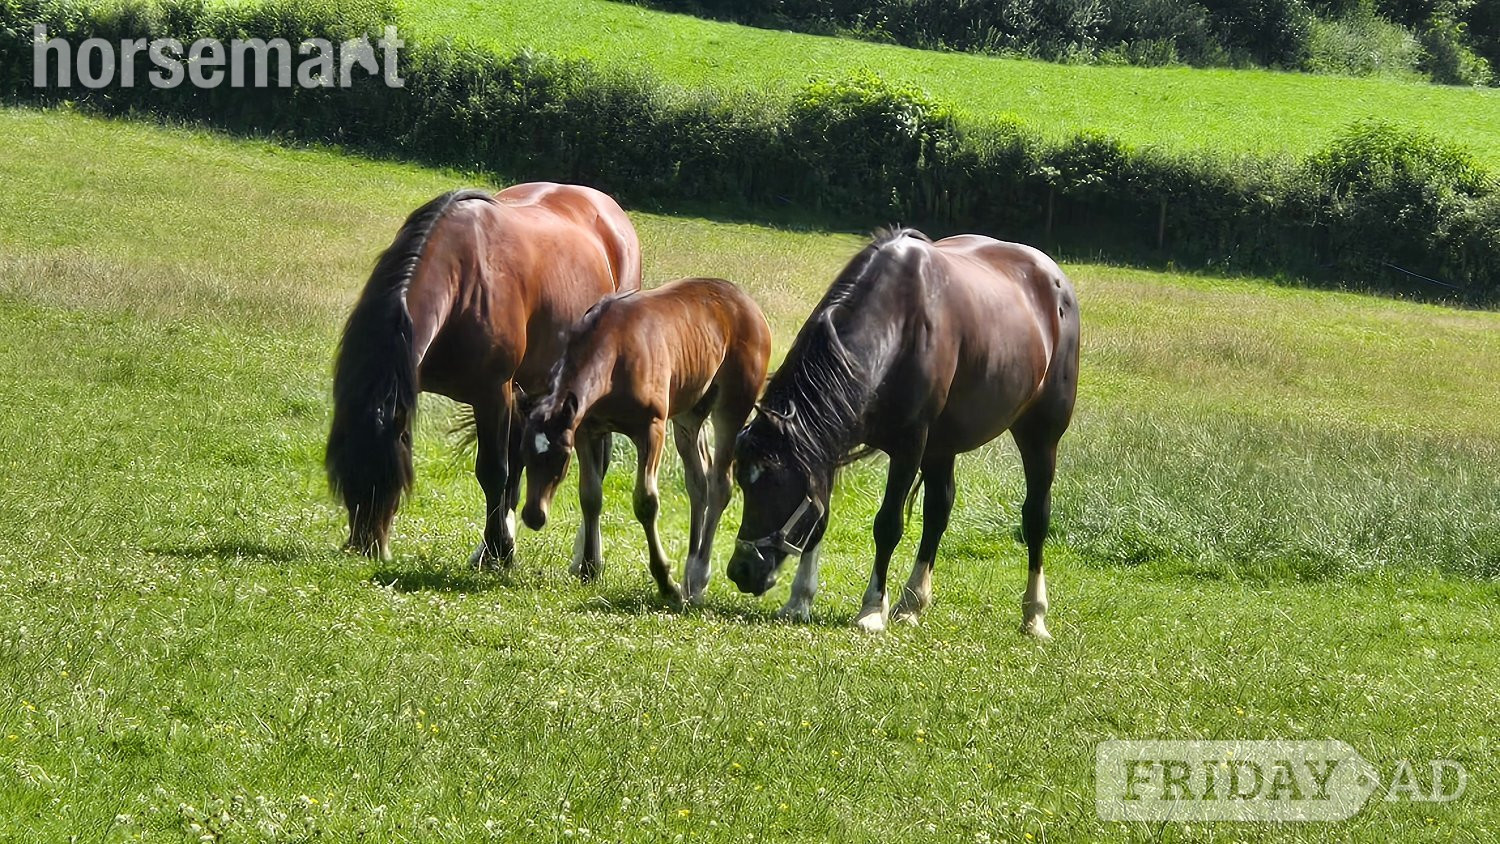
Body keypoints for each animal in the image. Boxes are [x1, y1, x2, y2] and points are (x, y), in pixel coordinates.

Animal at [325, 183, 641, 565]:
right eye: (343, 472)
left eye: (392, 476)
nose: (367, 547)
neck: (461, 279)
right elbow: (509, 468)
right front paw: (497, 548)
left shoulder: (493, 392)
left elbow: (494, 471)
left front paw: (498, 549)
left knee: (594, 463)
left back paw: (586, 557)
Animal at [519, 278, 772, 605]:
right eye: (523, 452)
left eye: (561, 458)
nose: (533, 515)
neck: (615, 351)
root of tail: (748, 303)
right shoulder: (587, 430)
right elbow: (590, 495)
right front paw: (589, 567)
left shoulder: (651, 429)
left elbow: (646, 502)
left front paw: (666, 583)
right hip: (689, 414)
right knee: (698, 482)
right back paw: (690, 572)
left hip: (733, 405)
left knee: (719, 484)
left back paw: (697, 577)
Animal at [725, 228, 1079, 637]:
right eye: (744, 483)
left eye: (775, 484)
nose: (741, 570)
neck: (896, 328)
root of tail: (1054, 277)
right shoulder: (826, 446)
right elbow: (818, 517)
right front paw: (799, 600)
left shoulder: (910, 446)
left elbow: (888, 524)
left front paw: (871, 609)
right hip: (943, 445)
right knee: (938, 510)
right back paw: (912, 603)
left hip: (1040, 436)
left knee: (1035, 516)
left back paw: (1034, 615)